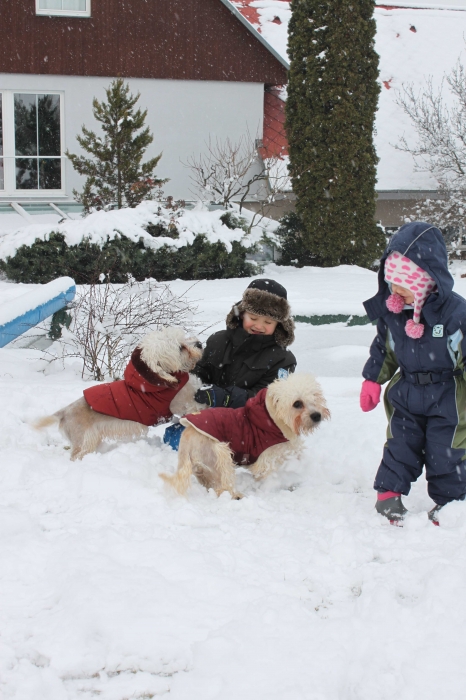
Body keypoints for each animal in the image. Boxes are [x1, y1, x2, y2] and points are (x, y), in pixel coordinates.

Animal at [35, 326, 204, 460]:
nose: (200, 343)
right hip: (85, 442)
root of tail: (63, 413)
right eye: (180, 348)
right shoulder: (185, 404)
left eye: (184, 337)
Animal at [160, 372, 329, 499]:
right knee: (223, 486)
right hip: (221, 454)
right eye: (297, 403)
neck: (273, 420)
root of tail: (186, 438)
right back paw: (235, 495)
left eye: (315, 396)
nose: (317, 416)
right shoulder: (266, 462)